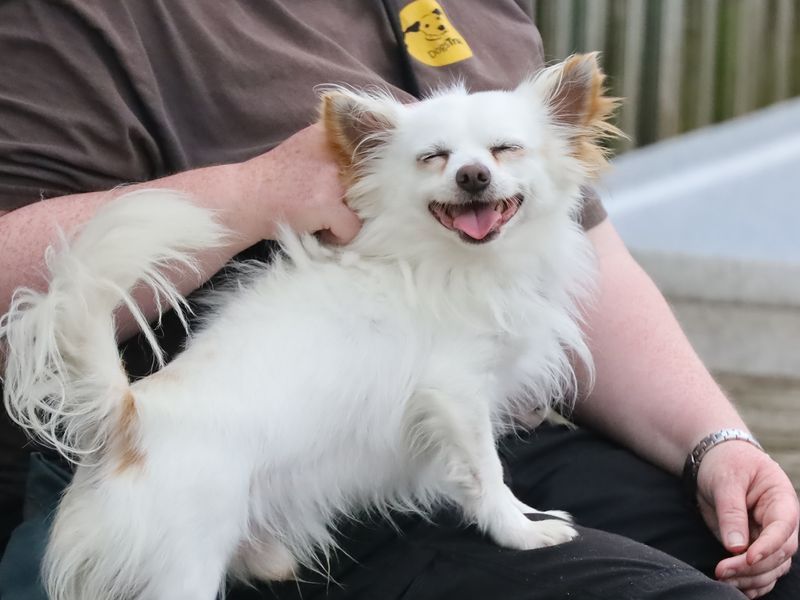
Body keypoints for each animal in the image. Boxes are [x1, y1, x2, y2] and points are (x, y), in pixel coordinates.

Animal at [0, 54, 620, 596]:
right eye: (434, 158)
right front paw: (518, 534)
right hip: (183, 570)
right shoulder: (457, 398)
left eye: (505, 150)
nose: (472, 175)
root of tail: (128, 416)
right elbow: (486, 472)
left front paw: (527, 514)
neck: (456, 262)